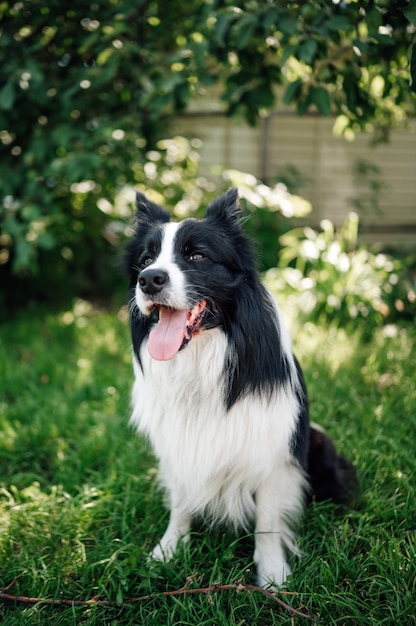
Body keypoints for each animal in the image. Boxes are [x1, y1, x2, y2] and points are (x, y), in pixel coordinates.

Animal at [125, 186, 356, 584]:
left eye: (197, 255)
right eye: (146, 259)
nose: (149, 279)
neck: (201, 360)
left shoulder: (273, 452)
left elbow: (268, 519)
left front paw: (272, 573)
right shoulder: (178, 444)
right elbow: (180, 504)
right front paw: (169, 549)